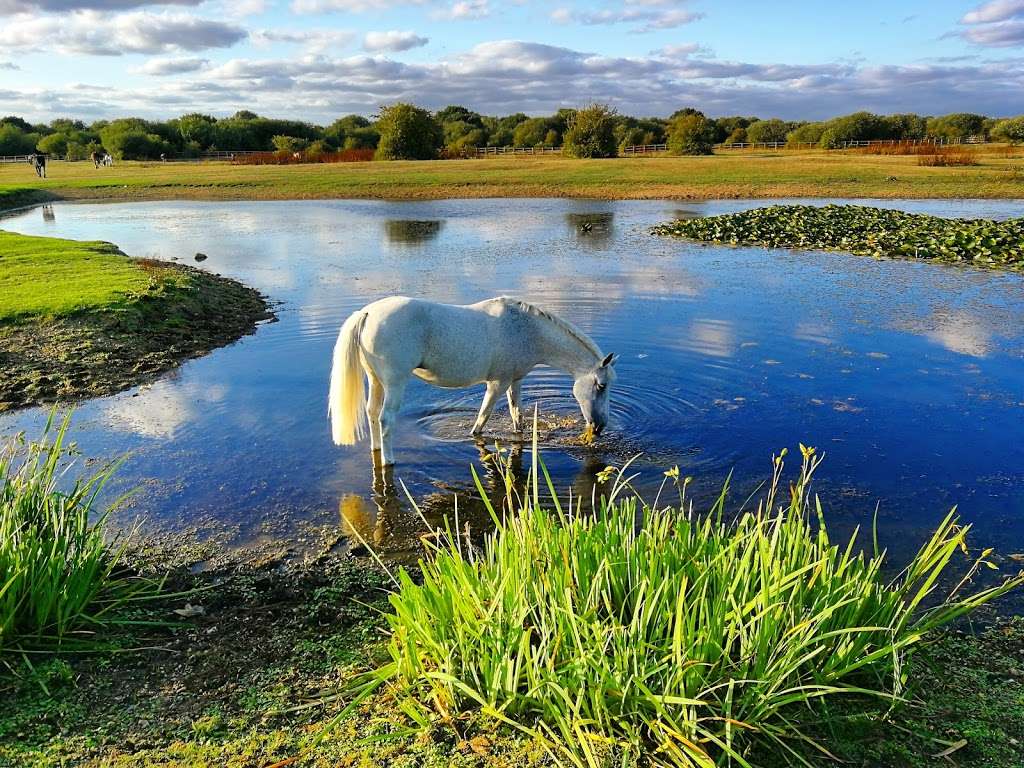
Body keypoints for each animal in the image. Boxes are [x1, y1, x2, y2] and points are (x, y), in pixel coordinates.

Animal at [327, 296, 614, 466]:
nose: (600, 427)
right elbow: (482, 418)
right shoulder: (496, 384)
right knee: (386, 419)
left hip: (376, 381)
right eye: (601, 385)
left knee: (372, 414)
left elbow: (517, 415)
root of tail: (366, 313)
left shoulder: (514, 381)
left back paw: (376, 451)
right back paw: (389, 460)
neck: (526, 329)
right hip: (395, 383)